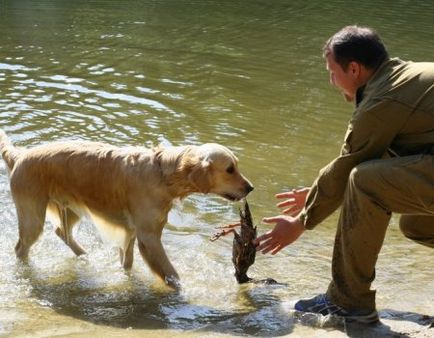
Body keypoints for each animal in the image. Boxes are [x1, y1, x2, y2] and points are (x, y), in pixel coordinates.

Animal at [0, 131, 253, 290]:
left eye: (237, 166)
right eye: (230, 169)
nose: (251, 188)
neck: (163, 174)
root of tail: (20, 155)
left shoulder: (132, 231)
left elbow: (128, 262)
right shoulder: (149, 237)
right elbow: (171, 273)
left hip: (70, 209)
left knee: (62, 232)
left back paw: (84, 255)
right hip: (33, 217)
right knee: (21, 248)